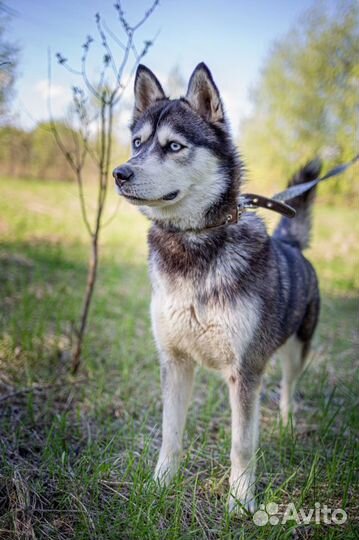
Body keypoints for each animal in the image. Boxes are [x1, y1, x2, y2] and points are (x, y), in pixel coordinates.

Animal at [113, 62, 320, 510]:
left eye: (174, 146)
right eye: (137, 143)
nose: (120, 172)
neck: (193, 243)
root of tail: (292, 244)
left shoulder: (246, 370)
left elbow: (242, 444)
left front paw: (240, 502)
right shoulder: (174, 361)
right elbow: (170, 434)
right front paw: (160, 484)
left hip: (298, 349)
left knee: (289, 388)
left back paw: (286, 424)